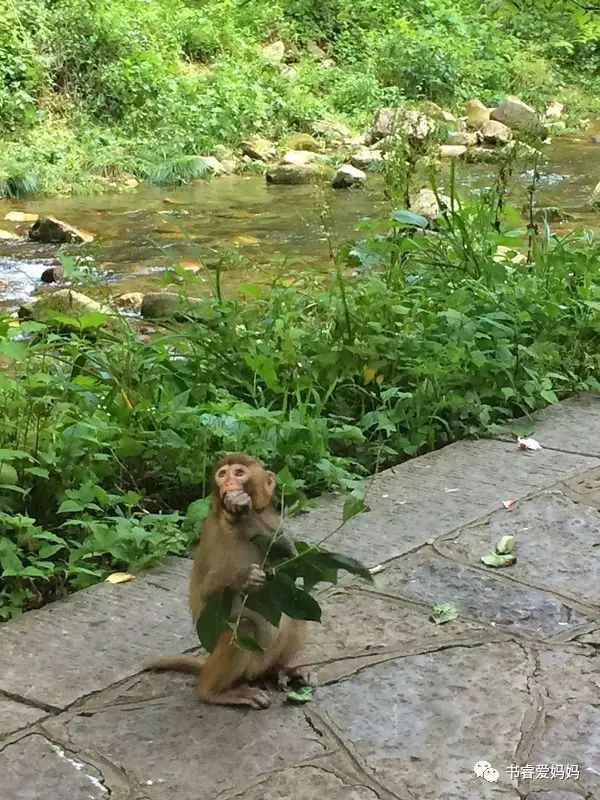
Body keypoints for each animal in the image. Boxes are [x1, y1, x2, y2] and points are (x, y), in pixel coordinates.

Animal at [146, 454, 314, 708]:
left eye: (239, 473)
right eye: (223, 474)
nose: (228, 484)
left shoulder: (272, 519)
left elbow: (291, 556)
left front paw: (244, 512)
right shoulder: (213, 534)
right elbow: (203, 595)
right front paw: (244, 577)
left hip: (266, 657)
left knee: (297, 612)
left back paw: (280, 670)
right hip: (243, 661)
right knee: (243, 626)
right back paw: (215, 692)